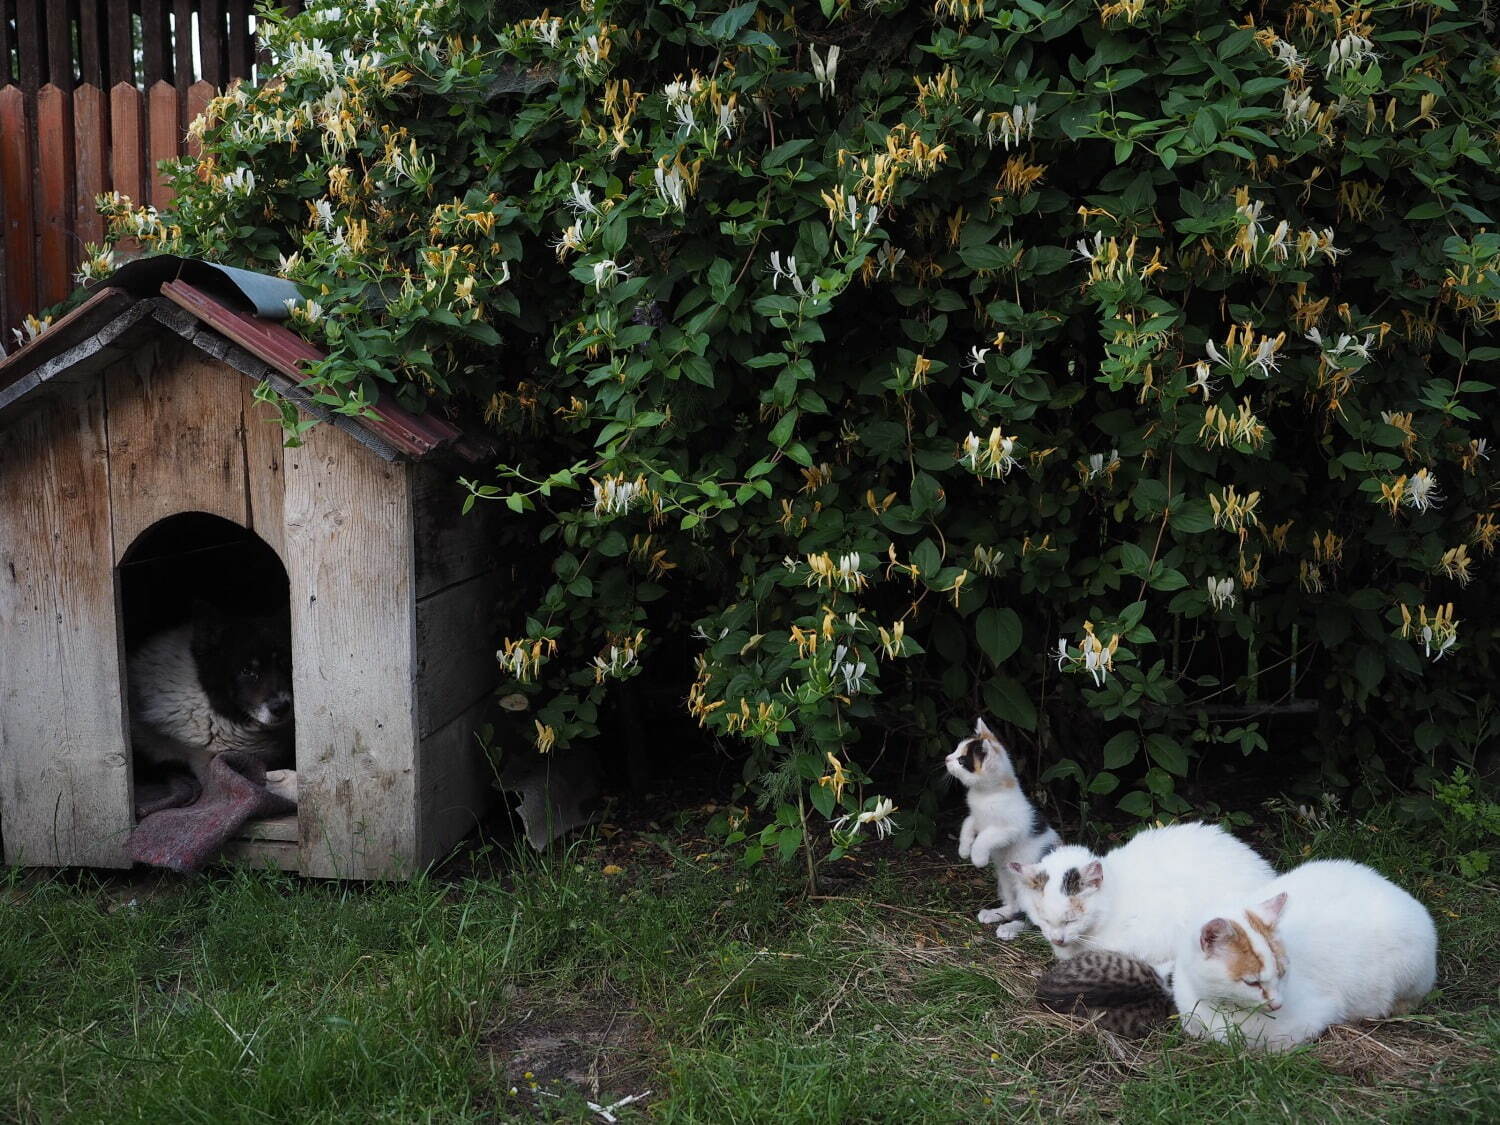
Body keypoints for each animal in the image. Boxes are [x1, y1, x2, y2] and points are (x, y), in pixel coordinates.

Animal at [942, 723, 1062, 942]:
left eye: (962, 760)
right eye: (955, 750)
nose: (947, 758)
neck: (988, 793)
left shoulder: (1009, 828)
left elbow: (984, 837)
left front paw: (978, 857)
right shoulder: (976, 817)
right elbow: (967, 824)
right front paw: (964, 849)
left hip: (1028, 885)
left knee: (1033, 919)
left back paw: (1010, 928)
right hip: (1005, 877)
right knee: (1013, 904)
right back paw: (996, 913)